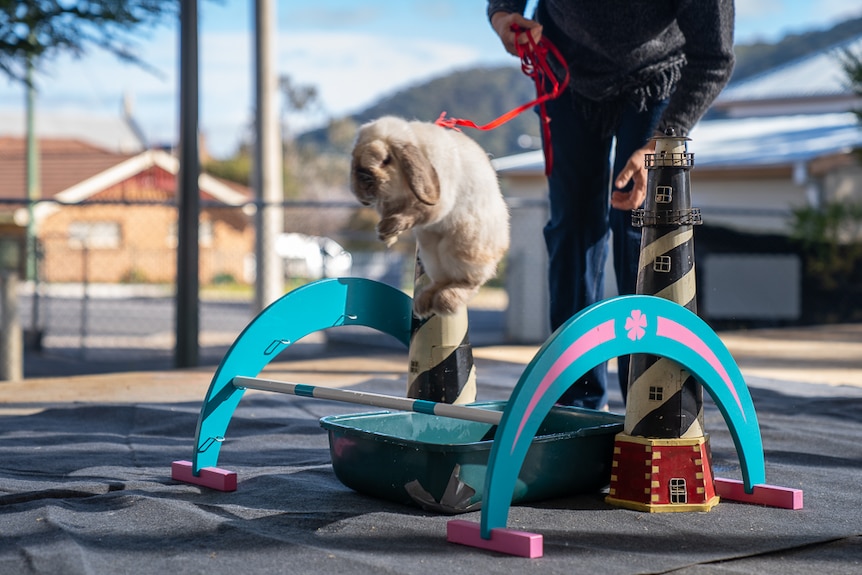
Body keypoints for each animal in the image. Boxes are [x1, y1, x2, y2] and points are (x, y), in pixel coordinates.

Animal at [352, 114, 512, 318]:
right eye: (355, 158)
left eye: (386, 160)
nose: (363, 177)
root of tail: (502, 244)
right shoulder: (392, 204)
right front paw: (386, 235)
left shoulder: (437, 202)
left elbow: (417, 212)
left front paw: (390, 227)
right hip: (430, 252)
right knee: (441, 280)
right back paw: (423, 303)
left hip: (460, 250)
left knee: (470, 282)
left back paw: (446, 301)